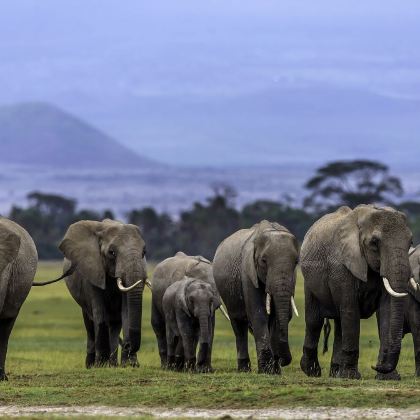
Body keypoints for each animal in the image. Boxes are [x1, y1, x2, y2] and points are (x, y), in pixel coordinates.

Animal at [56, 220, 147, 368]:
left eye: (144, 252)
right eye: (112, 252)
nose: (128, 346)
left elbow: (126, 311)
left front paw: (128, 365)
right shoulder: (92, 272)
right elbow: (100, 313)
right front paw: (101, 365)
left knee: (115, 324)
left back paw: (113, 364)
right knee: (90, 322)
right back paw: (91, 364)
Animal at [213, 220, 298, 374]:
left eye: (296, 262)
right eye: (264, 261)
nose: (283, 361)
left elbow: (278, 316)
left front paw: (275, 371)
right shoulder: (248, 272)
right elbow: (258, 313)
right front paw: (266, 371)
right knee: (238, 325)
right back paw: (244, 369)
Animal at [300, 205, 412, 378]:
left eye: (411, 242)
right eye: (374, 242)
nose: (375, 366)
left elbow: (387, 311)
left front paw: (389, 378)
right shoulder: (341, 267)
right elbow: (351, 310)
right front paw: (351, 376)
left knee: (339, 323)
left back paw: (335, 374)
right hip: (309, 281)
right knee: (314, 320)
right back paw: (313, 371)